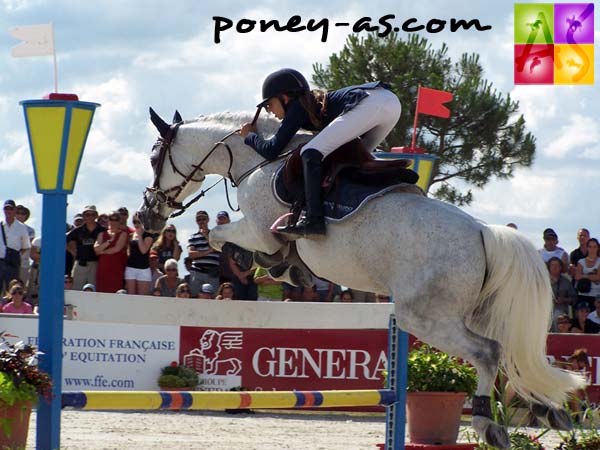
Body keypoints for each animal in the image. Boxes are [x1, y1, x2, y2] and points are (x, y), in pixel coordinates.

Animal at [138, 110, 584, 450]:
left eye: (155, 157)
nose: (147, 216)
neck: (258, 159)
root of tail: (483, 232)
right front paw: (283, 267)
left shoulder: (260, 229)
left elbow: (219, 234)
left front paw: (257, 262)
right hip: (473, 311)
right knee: (511, 350)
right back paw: (546, 408)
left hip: (425, 318)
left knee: (489, 352)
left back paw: (487, 423)